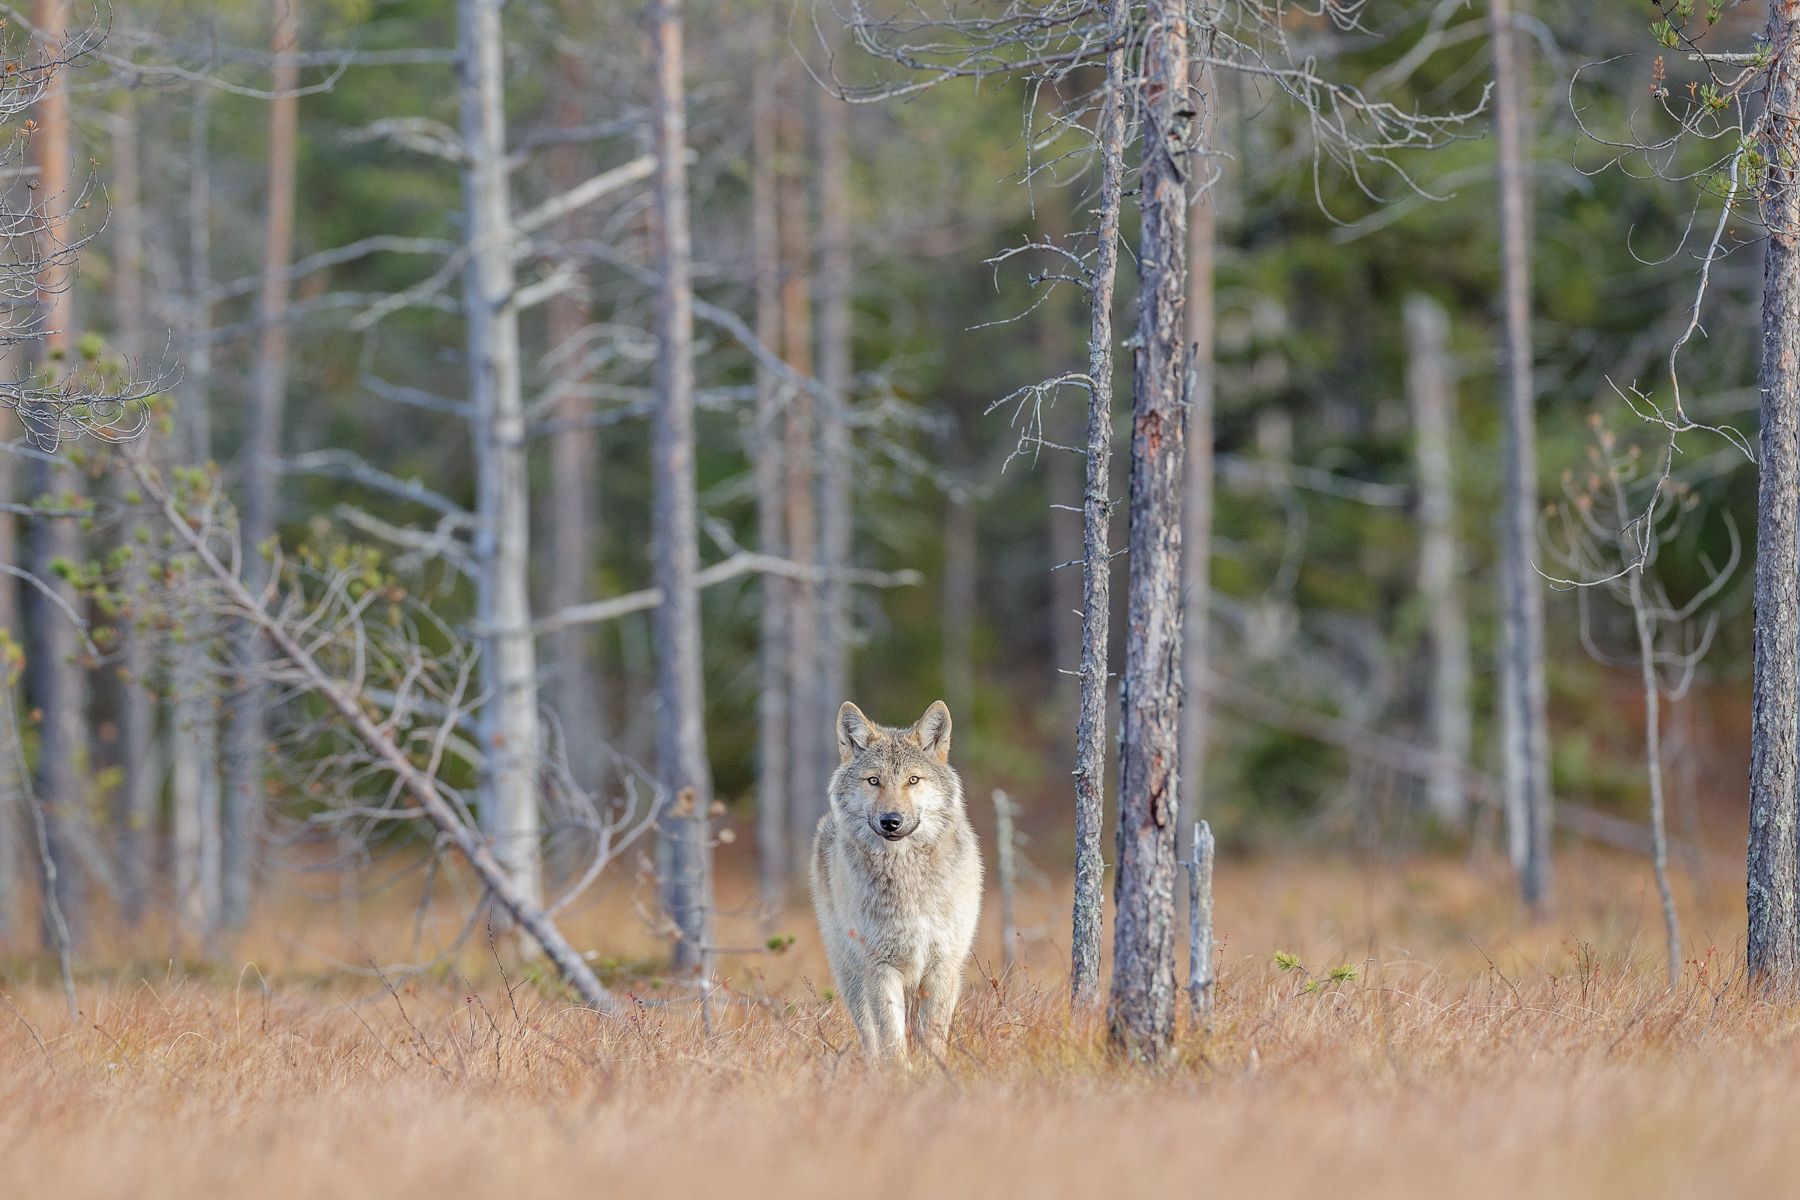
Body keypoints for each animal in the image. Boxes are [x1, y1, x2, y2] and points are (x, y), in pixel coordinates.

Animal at [810, 699, 983, 1063]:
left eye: (912, 780)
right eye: (874, 780)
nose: (891, 821)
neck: (907, 879)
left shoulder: (942, 965)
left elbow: (933, 1036)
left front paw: (935, 1072)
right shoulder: (880, 967)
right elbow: (892, 1038)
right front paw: (900, 1074)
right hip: (850, 973)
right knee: (870, 1035)